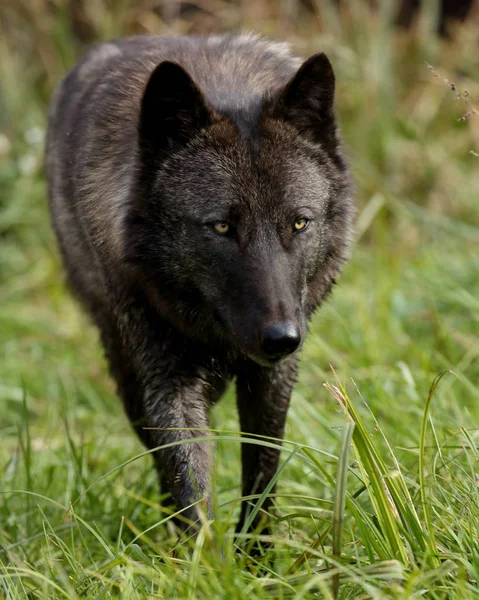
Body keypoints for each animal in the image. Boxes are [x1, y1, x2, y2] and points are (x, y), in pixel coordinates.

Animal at [46, 31, 352, 540]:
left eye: (299, 223)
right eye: (222, 227)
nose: (281, 338)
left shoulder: (274, 376)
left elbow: (262, 470)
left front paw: (255, 555)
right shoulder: (167, 380)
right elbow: (188, 478)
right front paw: (205, 556)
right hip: (125, 368)